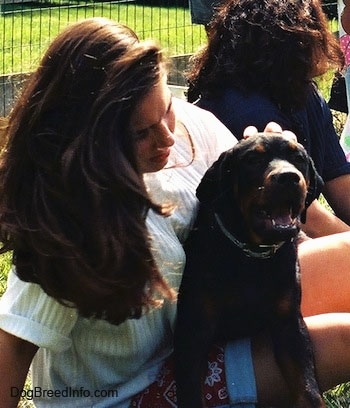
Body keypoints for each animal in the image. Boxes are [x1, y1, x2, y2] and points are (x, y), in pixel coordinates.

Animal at [175, 134, 326, 408]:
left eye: (298, 158)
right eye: (253, 159)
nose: (289, 177)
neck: (253, 255)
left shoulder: (290, 326)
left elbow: (308, 389)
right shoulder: (193, 331)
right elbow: (190, 393)